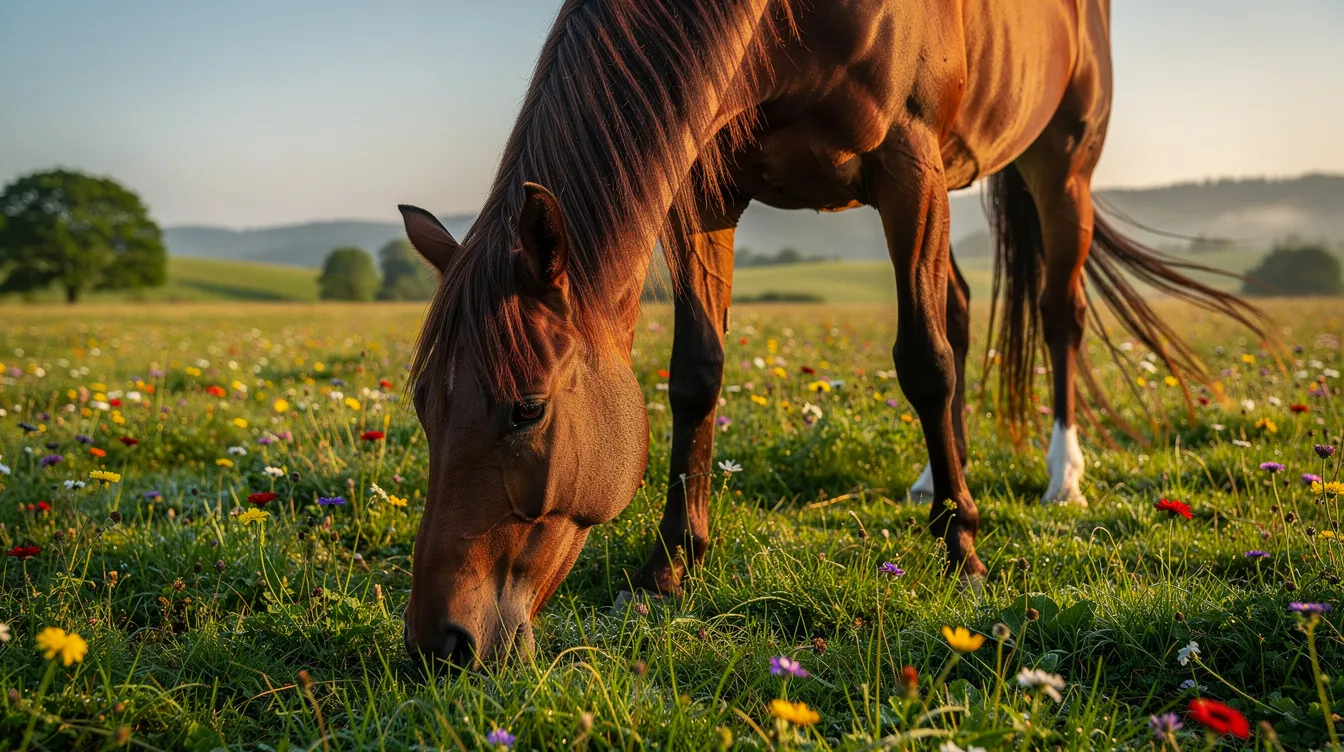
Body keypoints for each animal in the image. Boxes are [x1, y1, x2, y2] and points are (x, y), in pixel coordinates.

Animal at [398, 0, 1269, 666]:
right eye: (424, 407)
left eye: (528, 409)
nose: (440, 645)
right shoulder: (706, 192)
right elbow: (697, 373)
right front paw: (669, 566)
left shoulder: (908, 167)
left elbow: (923, 363)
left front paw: (965, 556)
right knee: (957, 307)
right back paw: (935, 480)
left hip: (1060, 162)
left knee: (1057, 315)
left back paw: (1063, 477)